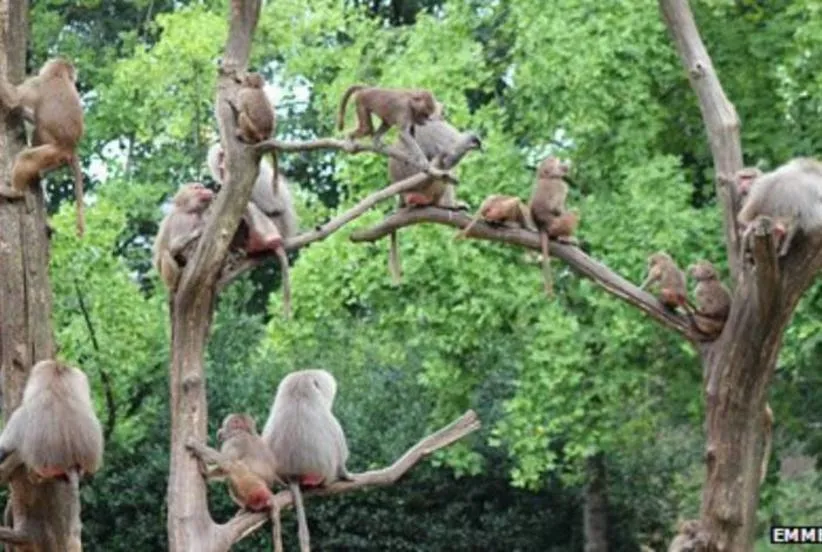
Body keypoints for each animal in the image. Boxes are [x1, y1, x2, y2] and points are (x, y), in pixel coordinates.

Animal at [0, 57, 86, 237]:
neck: (59, 76)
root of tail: (70, 147)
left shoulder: (37, 82)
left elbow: (13, 99)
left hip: (53, 152)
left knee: (26, 157)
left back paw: (15, 191)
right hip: (56, 157)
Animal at [264, 368, 354, 552]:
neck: (299, 393)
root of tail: (293, 475)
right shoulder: (330, 421)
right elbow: (341, 455)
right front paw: (348, 475)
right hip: (325, 475)